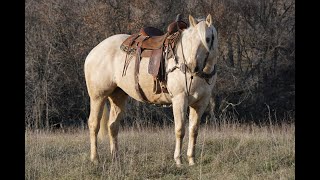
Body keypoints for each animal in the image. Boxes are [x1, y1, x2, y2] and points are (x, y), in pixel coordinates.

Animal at [84, 14, 219, 166]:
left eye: (208, 39)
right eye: (190, 40)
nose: (192, 67)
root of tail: (93, 52)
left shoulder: (200, 103)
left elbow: (194, 130)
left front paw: (191, 160)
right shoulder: (179, 99)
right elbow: (180, 130)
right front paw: (178, 160)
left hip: (118, 96)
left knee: (112, 126)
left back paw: (116, 158)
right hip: (98, 97)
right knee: (94, 124)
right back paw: (95, 158)